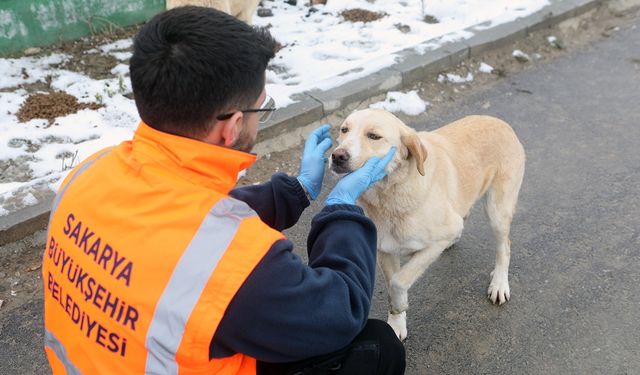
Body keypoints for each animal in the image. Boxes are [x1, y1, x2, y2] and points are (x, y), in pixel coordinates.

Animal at [330, 108, 524, 340]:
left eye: (374, 136)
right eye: (344, 129)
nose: (337, 156)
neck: (391, 194)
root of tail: (501, 122)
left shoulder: (437, 240)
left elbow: (399, 281)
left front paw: (400, 304)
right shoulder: (386, 250)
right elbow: (392, 282)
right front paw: (396, 323)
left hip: (497, 211)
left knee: (505, 247)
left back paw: (499, 283)